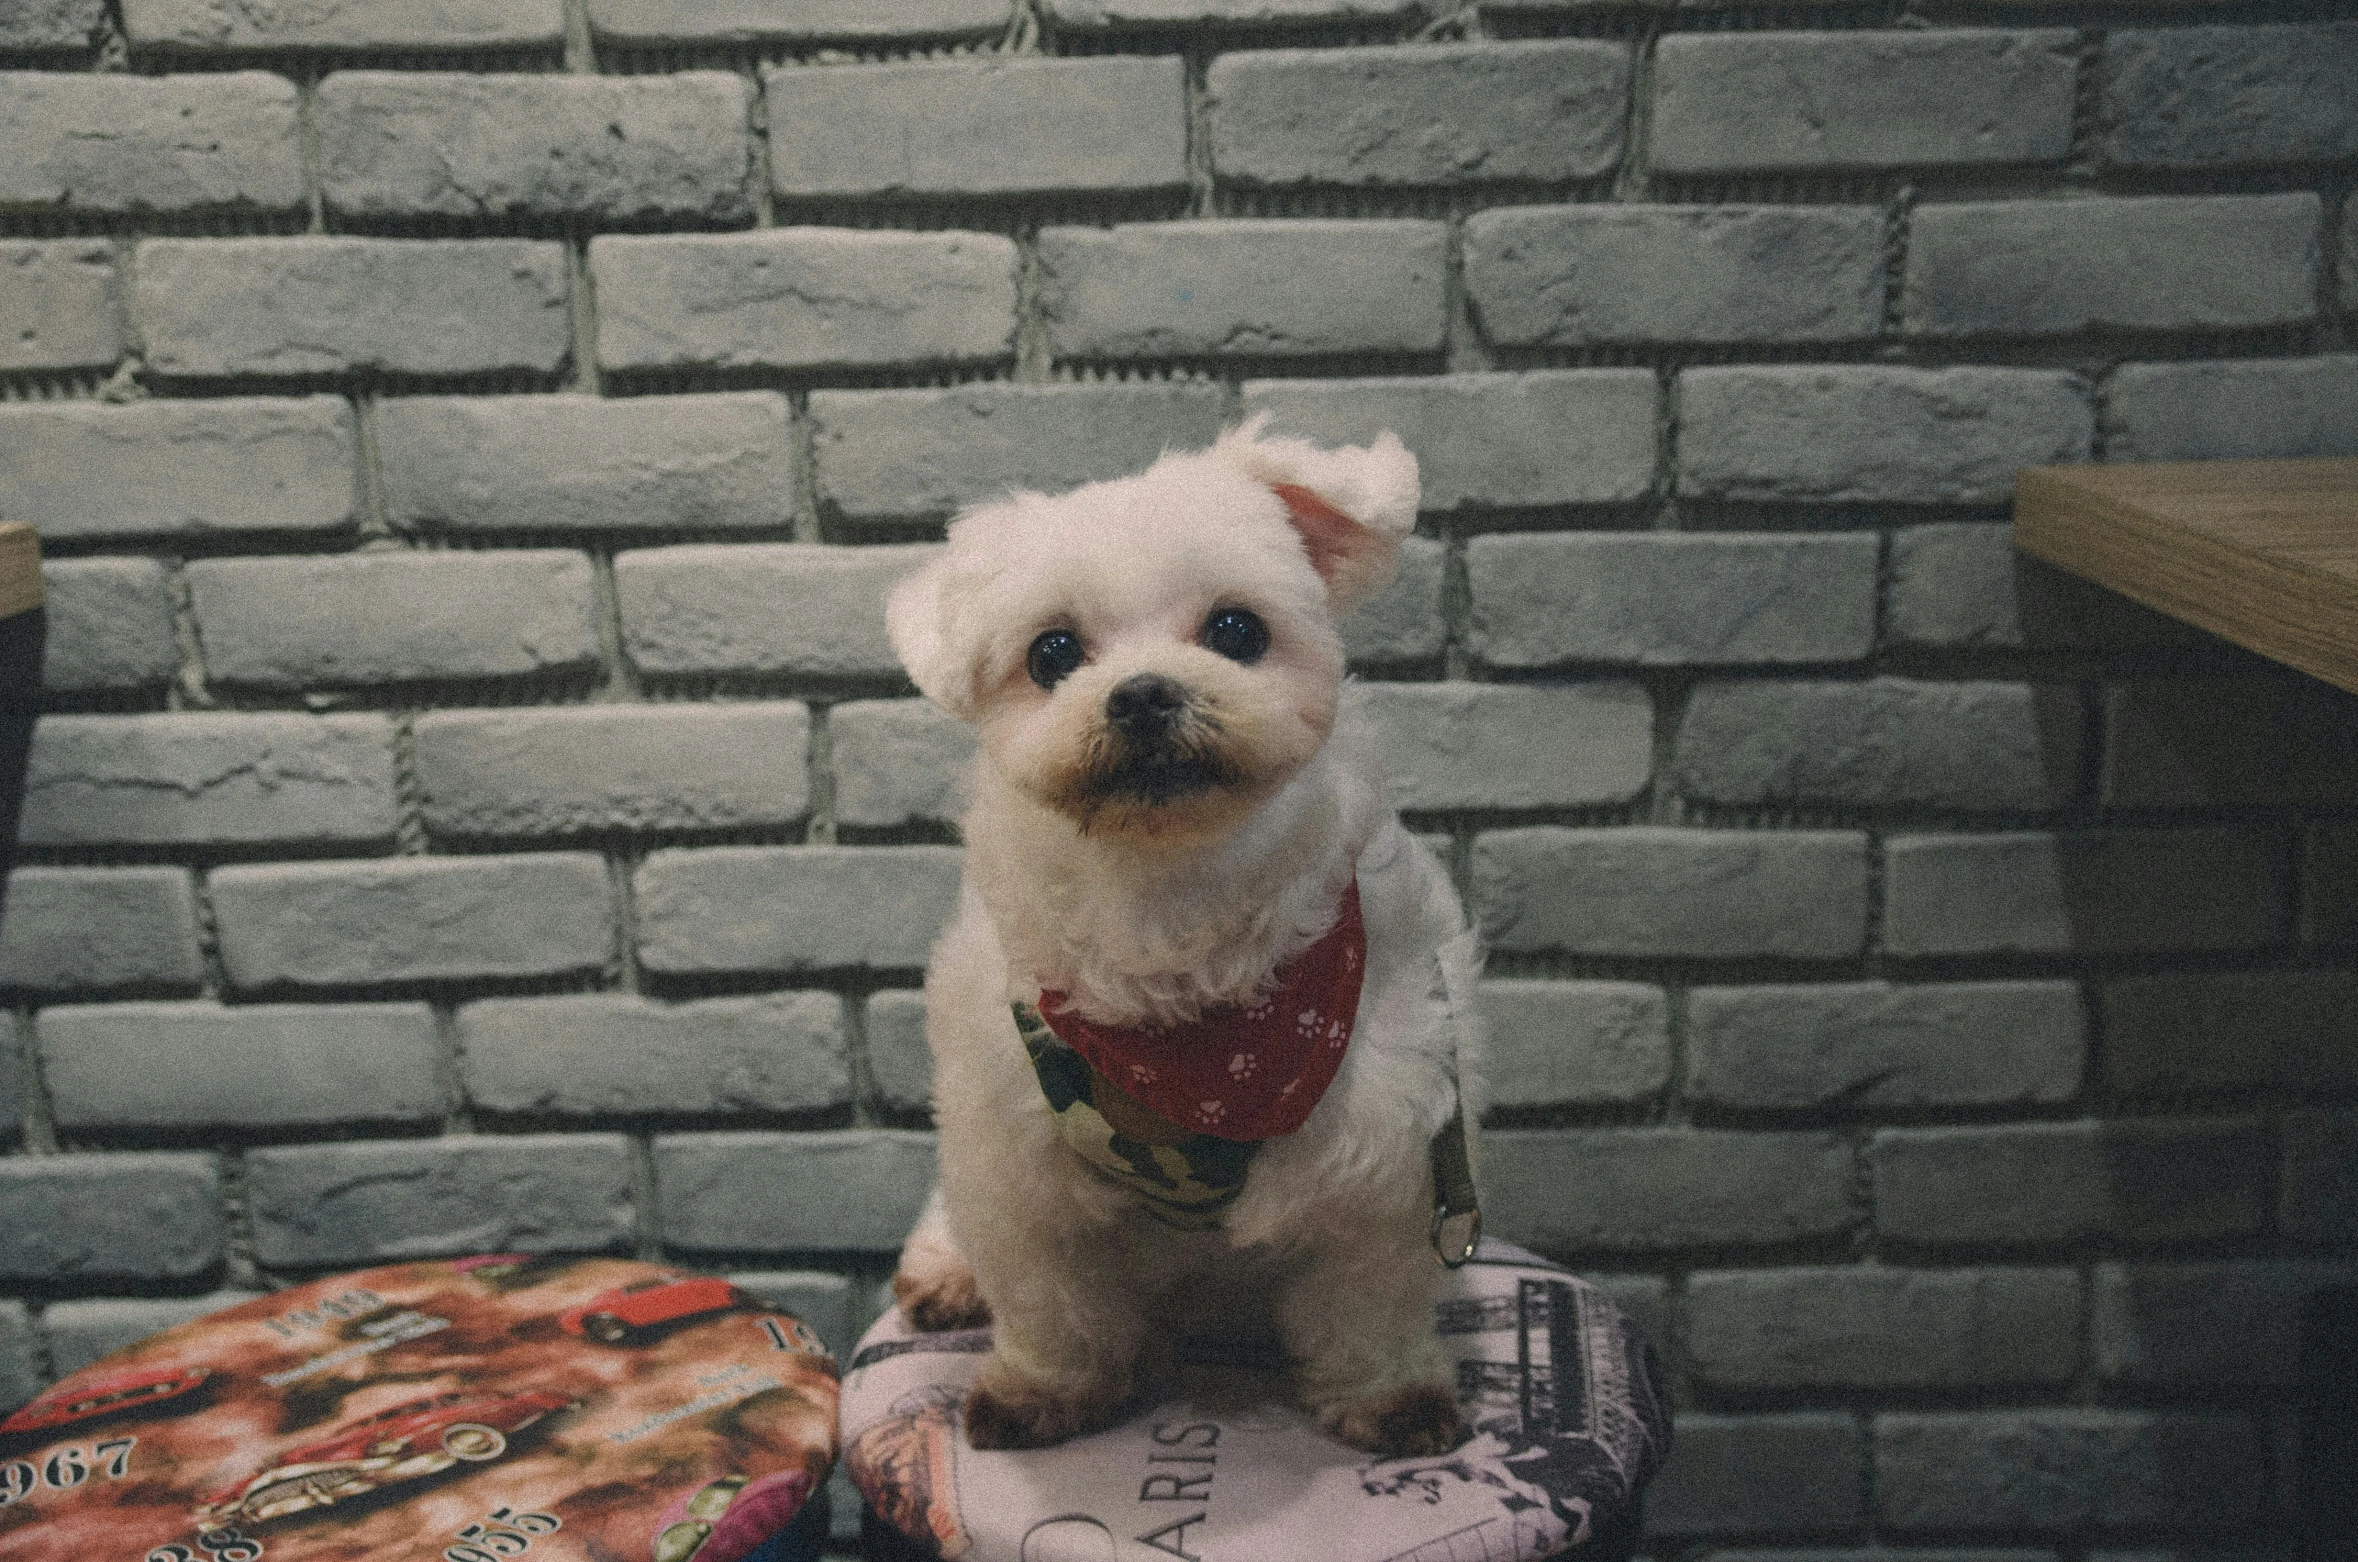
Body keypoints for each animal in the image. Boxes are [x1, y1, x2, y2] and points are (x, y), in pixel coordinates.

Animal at [877, 422, 1480, 1462]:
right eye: (1052, 652)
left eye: (1237, 631)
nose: (1143, 696)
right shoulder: (1018, 1160)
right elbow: (1050, 1303)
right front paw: (1043, 1390)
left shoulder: (1393, 1146)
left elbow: (1368, 1302)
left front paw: (1388, 1394)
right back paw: (945, 1274)